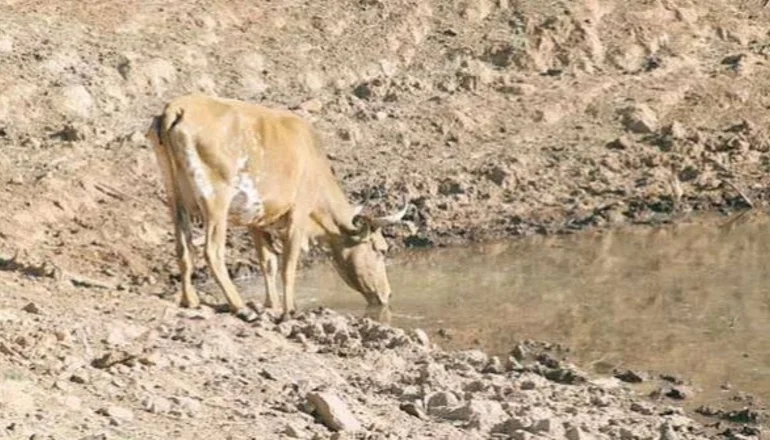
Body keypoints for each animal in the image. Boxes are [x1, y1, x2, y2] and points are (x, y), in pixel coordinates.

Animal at [145, 93, 408, 322]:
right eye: (381, 249)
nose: (388, 294)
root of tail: (177, 108)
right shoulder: (298, 215)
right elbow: (287, 266)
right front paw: (289, 310)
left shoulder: (257, 220)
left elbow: (268, 263)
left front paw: (271, 305)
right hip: (216, 201)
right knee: (213, 251)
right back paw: (239, 305)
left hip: (174, 197)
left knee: (183, 246)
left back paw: (190, 300)